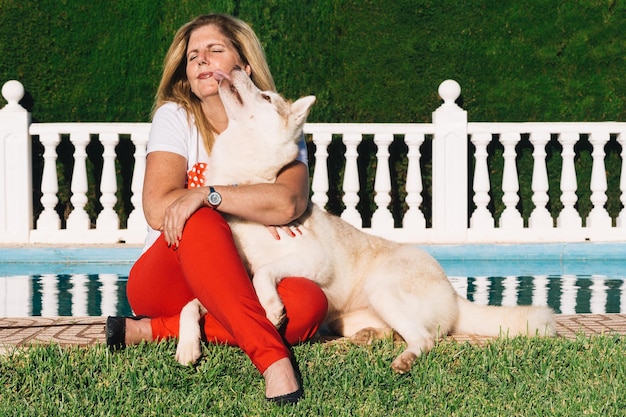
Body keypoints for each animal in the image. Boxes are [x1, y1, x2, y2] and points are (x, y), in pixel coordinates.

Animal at [174, 66, 552, 372]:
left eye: (266, 96)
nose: (237, 68)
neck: (248, 182)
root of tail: (452, 293)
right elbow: (190, 305)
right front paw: (187, 345)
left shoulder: (313, 261)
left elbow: (264, 273)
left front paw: (271, 306)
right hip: (350, 317)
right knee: (395, 332)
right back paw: (369, 336)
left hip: (383, 288)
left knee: (424, 339)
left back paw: (404, 359)